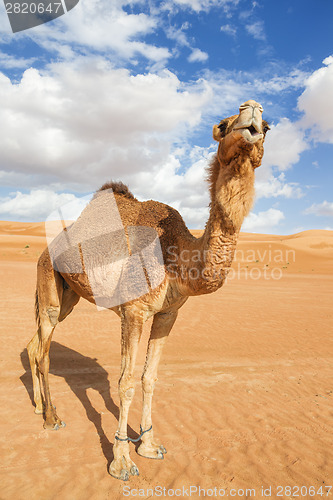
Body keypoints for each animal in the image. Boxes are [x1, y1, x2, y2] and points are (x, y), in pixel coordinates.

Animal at [26, 99, 270, 478]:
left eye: (268, 127)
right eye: (222, 124)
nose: (252, 110)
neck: (176, 254)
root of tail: (43, 251)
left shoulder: (168, 314)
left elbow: (149, 378)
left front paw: (150, 444)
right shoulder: (134, 312)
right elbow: (125, 382)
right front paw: (121, 460)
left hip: (69, 296)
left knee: (35, 343)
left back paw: (39, 408)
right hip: (48, 281)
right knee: (43, 350)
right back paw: (52, 418)